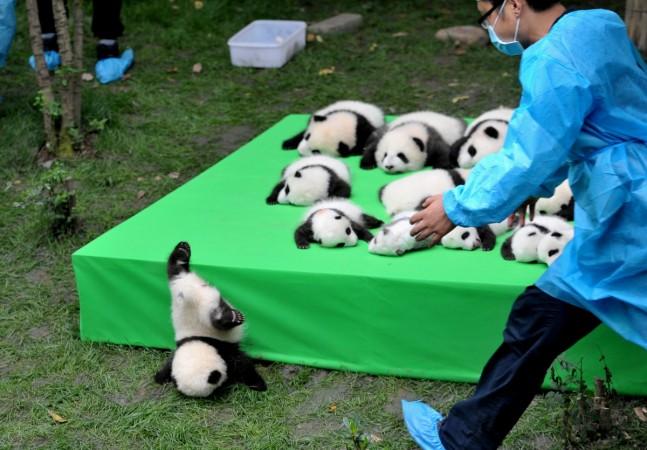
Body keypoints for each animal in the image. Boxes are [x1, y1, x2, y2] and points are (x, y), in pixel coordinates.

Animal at [154, 242, 267, 397]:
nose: (219, 389)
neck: (199, 341)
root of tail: (189, 294)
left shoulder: (221, 348)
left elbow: (242, 366)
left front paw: (258, 384)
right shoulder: (221, 351)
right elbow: (241, 364)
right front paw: (160, 376)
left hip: (184, 297)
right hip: (181, 286)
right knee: (175, 270)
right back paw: (182, 251)